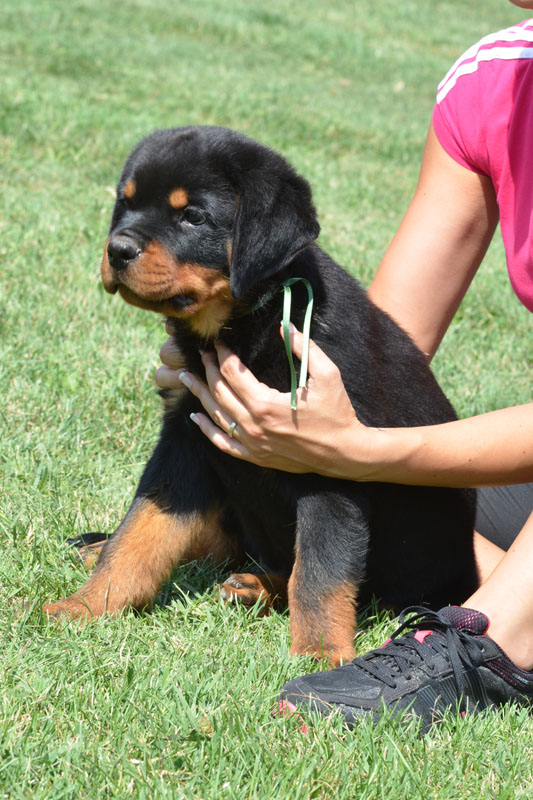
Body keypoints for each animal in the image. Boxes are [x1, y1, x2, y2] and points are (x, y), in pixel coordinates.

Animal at [42, 126, 478, 664]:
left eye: (193, 216)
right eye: (126, 203)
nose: (117, 249)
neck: (246, 325)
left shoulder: (329, 461)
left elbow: (319, 573)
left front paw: (318, 655)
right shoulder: (185, 437)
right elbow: (141, 530)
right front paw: (83, 605)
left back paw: (255, 587)